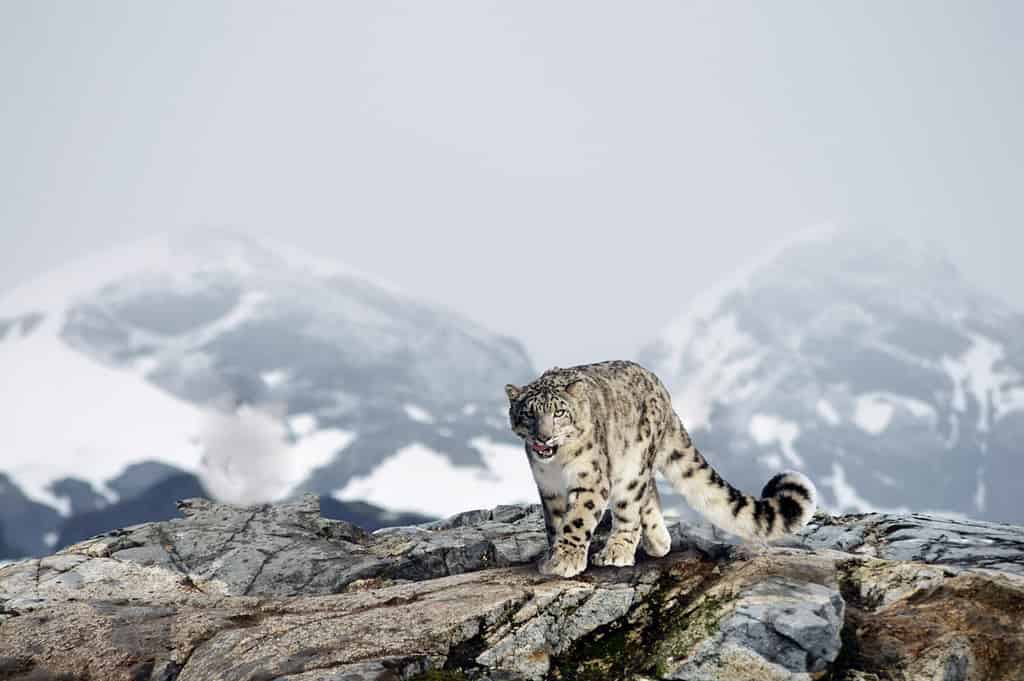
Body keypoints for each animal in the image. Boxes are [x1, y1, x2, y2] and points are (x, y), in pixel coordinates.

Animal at [507, 358, 819, 577]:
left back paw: (617, 551)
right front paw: (553, 556)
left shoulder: (590, 479)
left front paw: (565, 560)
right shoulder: (548, 488)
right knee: (649, 494)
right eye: (528, 414)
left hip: (633, 465)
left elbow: (578, 519)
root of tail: (661, 388)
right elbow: (555, 523)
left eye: (559, 412)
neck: (556, 465)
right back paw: (658, 541)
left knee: (631, 505)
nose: (543, 437)